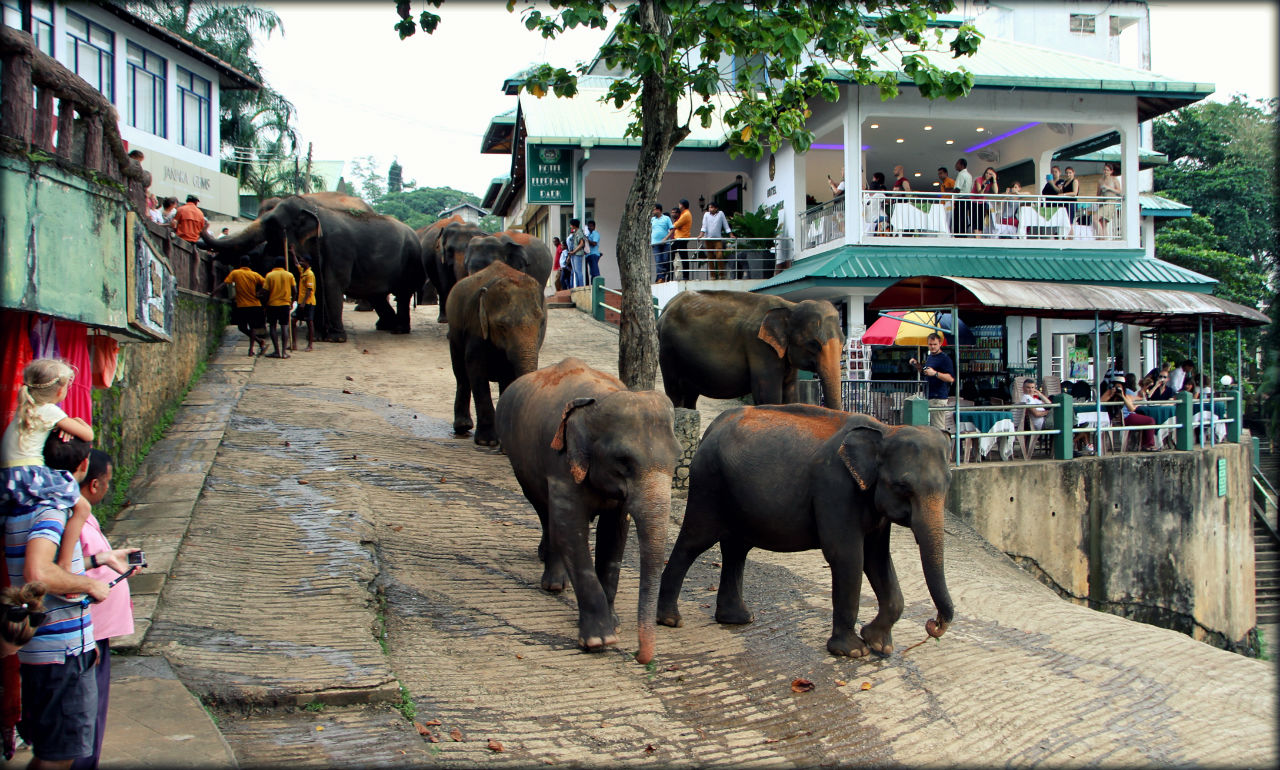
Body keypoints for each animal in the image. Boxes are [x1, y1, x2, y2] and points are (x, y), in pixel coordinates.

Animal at [203, 194, 424, 342]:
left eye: (272, 223)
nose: (204, 224)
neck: (314, 208)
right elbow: (315, 285)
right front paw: (318, 336)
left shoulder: (337, 248)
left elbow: (332, 283)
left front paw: (335, 338)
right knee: (377, 295)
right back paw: (387, 327)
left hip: (410, 262)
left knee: (402, 294)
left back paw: (398, 330)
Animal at [445, 259, 545, 442]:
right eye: (501, 326)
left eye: (541, 322)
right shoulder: (475, 326)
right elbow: (475, 368)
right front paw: (488, 441)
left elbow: (509, 374)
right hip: (454, 332)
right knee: (461, 374)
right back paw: (463, 427)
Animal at [496, 355, 680, 660]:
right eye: (623, 461)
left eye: (678, 458)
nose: (639, 657)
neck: (600, 399)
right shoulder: (561, 465)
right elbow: (571, 531)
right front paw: (599, 640)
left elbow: (614, 537)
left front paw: (614, 624)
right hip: (519, 460)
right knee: (544, 510)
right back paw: (553, 584)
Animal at [655, 287, 844, 406]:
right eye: (813, 344)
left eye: (843, 343)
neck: (790, 306)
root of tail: (665, 308)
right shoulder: (759, 347)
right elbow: (768, 397)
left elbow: (791, 395)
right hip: (668, 351)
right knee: (676, 393)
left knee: (690, 397)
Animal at [660, 404, 952, 654]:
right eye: (903, 487)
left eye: (948, 482)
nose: (934, 624)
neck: (884, 429)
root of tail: (712, 427)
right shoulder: (835, 488)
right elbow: (847, 556)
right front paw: (853, 651)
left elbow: (877, 558)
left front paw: (879, 645)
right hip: (708, 483)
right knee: (695, 541)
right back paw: (671, 620)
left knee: (736, 548)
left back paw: (738, 619)